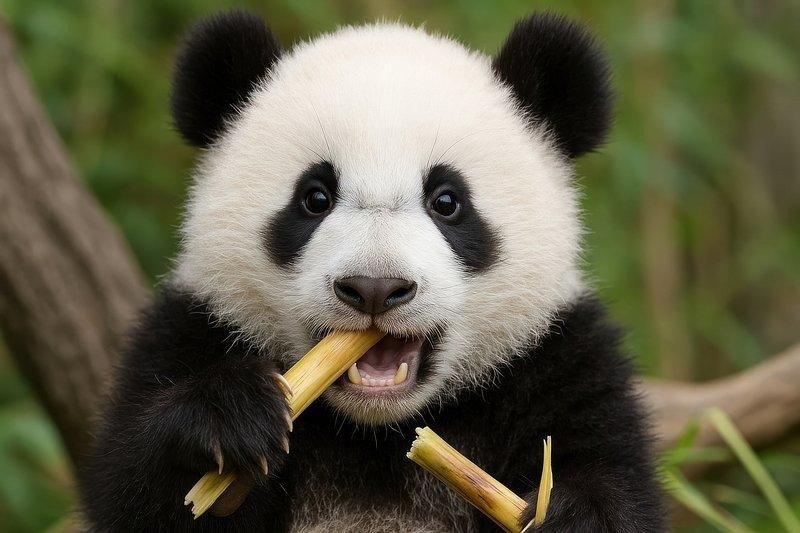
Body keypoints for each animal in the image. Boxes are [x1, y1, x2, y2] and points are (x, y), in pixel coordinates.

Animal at [82, 10, 665, 532]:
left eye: (447, 201)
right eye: (315, 197)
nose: (375, 288)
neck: (377, 432)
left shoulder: (558, 364)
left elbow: (609, 476)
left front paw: (572, 516)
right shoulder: (189, 332)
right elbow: (138, 495)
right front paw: (227, 418)